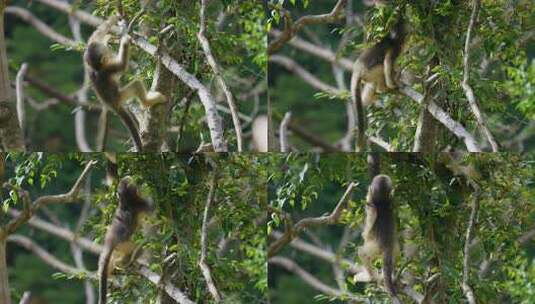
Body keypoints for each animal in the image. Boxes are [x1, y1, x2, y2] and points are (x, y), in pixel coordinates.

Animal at [84, 15, 166, 151]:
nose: (108, 52)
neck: (97, 69)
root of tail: (113, 105)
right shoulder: (108, 68)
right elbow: (122, 65)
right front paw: (125, 40)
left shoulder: (89, 64)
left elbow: (95, 36)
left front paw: (114, 21)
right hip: (121, 96)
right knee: (136, 84)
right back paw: (147, 102)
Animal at [98, 176, 154, 304]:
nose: (130, 178)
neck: (125, 202)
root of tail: (110, 241)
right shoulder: (140, 204)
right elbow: (154, 209)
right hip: (123, 244)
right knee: (138, 249)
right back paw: (127, 261)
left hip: (116, 248)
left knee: (107, 262)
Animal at [352, 13, 406, 151]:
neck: (391, 39)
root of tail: (356, 70)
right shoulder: (394, 49)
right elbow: (388, 62)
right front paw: (394, 84)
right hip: (369, 71)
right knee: (382, 68)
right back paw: (385, 89)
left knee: (370, 87)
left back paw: (369, 99)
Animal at [360, 175, 402, 304]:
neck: (382, 203)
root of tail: (387, 245)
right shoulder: (391, 202)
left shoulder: (371, 206)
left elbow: (367, 231)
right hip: (394, 248)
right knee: (395, 256)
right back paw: (392, 276)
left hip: (375, 248)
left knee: (362, 253)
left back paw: (371, 277)